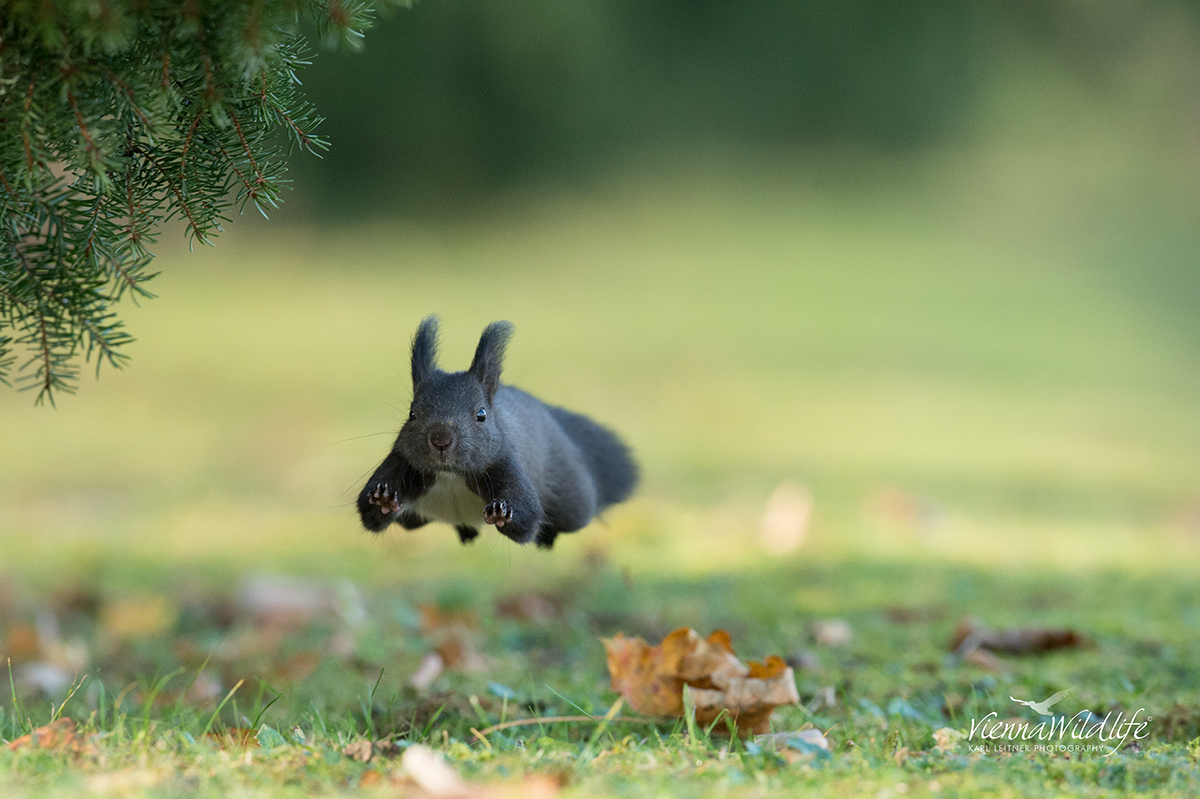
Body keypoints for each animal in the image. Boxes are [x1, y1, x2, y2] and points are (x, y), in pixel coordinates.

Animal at [352, 316, 638, 547]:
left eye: (481, 415)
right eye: (412, 414)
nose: (441, 440)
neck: (450, 475)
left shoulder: (505, 462)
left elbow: (527, 520)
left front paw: (503, 512)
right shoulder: (402, 462)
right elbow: (369, 514)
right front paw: (383, 499)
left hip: (571, 501)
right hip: (413, 520)